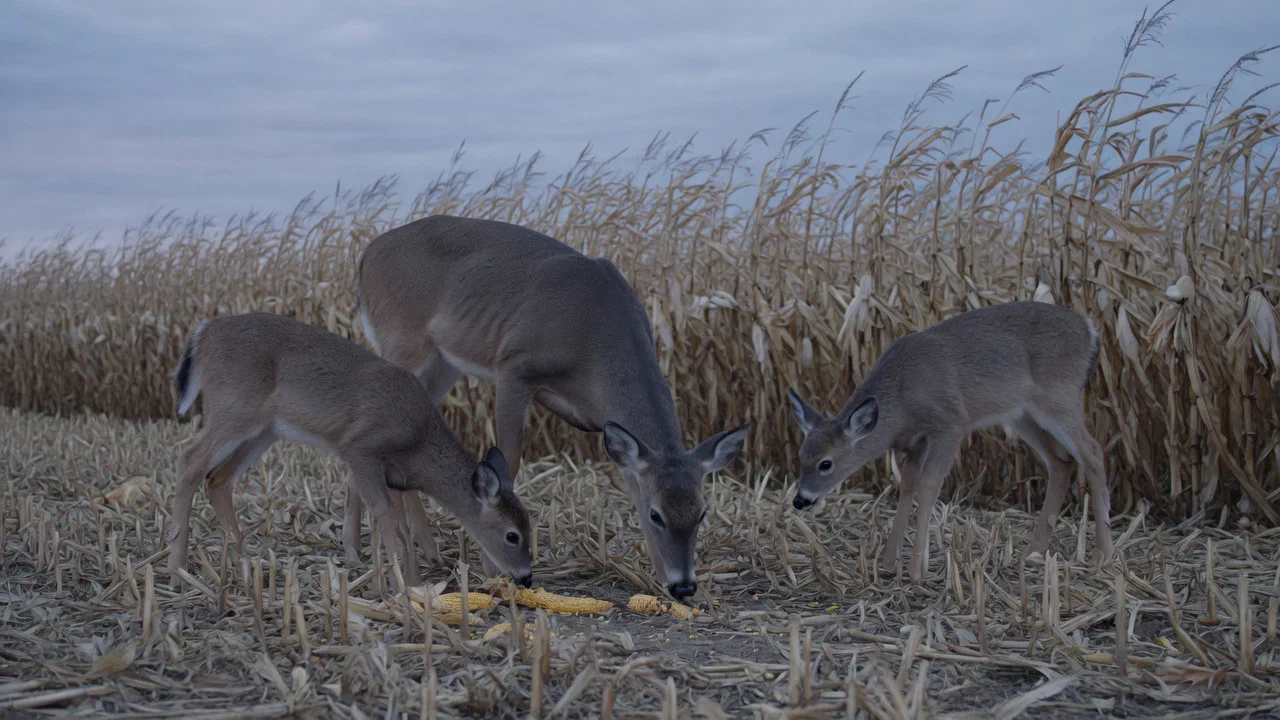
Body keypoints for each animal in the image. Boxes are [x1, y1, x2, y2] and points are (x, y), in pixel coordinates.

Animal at [165, 311, 534, 590]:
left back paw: (242, 561)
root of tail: (202, 333)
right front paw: (400, 586)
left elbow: (400, 525)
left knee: (218, 479)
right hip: (234, 408)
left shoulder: (393, 474)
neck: (417, 438)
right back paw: (176, 570)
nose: (526, 578)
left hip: (262, 431)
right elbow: (387, 517)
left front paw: (412, 583)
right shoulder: (361, 450)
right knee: (188, 461)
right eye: (512, 536)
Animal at [349, 214, 750, 600]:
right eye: (657, 516)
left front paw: (659, 579)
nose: (685, 585)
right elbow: (508, 464)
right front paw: (495, 567)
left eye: (702, 513)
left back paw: (416, 550)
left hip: (442, 361)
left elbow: (633, 485)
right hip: (402, 337)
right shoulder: (514, 367)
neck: (592, 339)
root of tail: (365, 254)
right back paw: (361, 551)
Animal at [785, 300, 1113, 582]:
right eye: (800, 457)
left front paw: (917, 569)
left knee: (1093, 453)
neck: (902, 400)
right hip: (1022, 414)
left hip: (1059, 397)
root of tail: (1091, 330)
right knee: (1061, 461)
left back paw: (1102, 554)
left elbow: (929, 485)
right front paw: (889, 562)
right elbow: (907, 485)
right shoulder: (914, 440)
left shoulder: (950, 423)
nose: (801, 500)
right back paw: (1033, 552)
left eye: (826, 464)